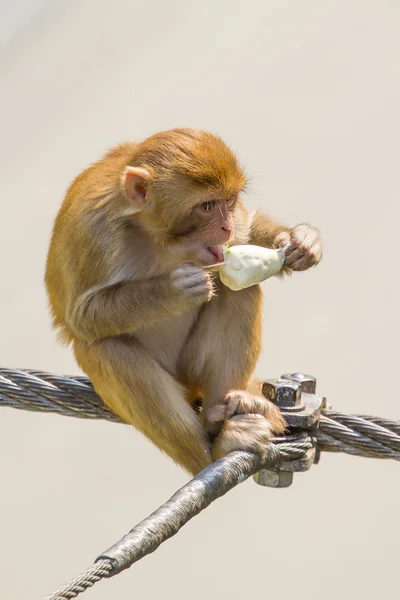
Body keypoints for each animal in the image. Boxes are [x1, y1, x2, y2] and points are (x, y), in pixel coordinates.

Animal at [46, 129, 322, 476]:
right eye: (206, 206)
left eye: (228, 201)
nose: (226, 227)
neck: (157, 237)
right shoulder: (95, 234)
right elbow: (82, 317)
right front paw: (174, 289)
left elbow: (247, 231)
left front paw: (300, 241)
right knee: (108, 349)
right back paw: (217, 449)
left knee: (238, 290)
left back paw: (227, 411)